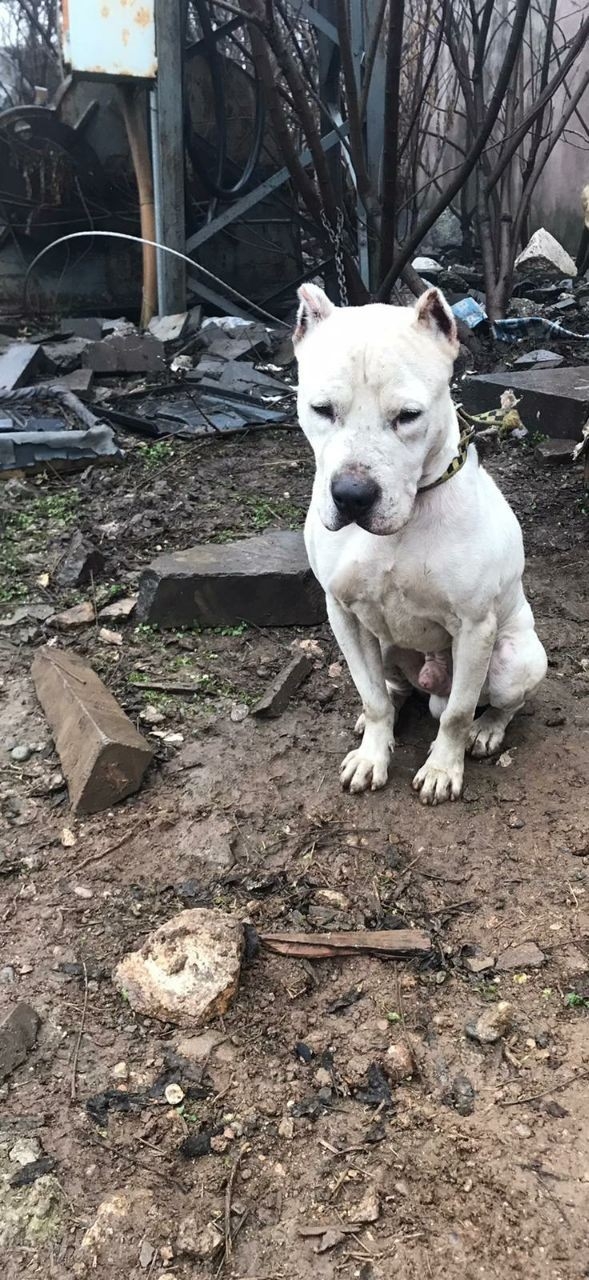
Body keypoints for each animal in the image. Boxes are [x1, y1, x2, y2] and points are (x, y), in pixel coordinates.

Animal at [294, 284, 548, 803]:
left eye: (408, 416)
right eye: (322, 409)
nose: (351, 496)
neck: (404, 523)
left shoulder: (474, 628)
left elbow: (456, 714)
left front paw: (442, 768)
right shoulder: (342, 613)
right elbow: (370, 696)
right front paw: (372, 755)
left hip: (515, 659)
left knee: (495, 703)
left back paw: (487, 730)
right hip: (381, 643)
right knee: (389, 688)